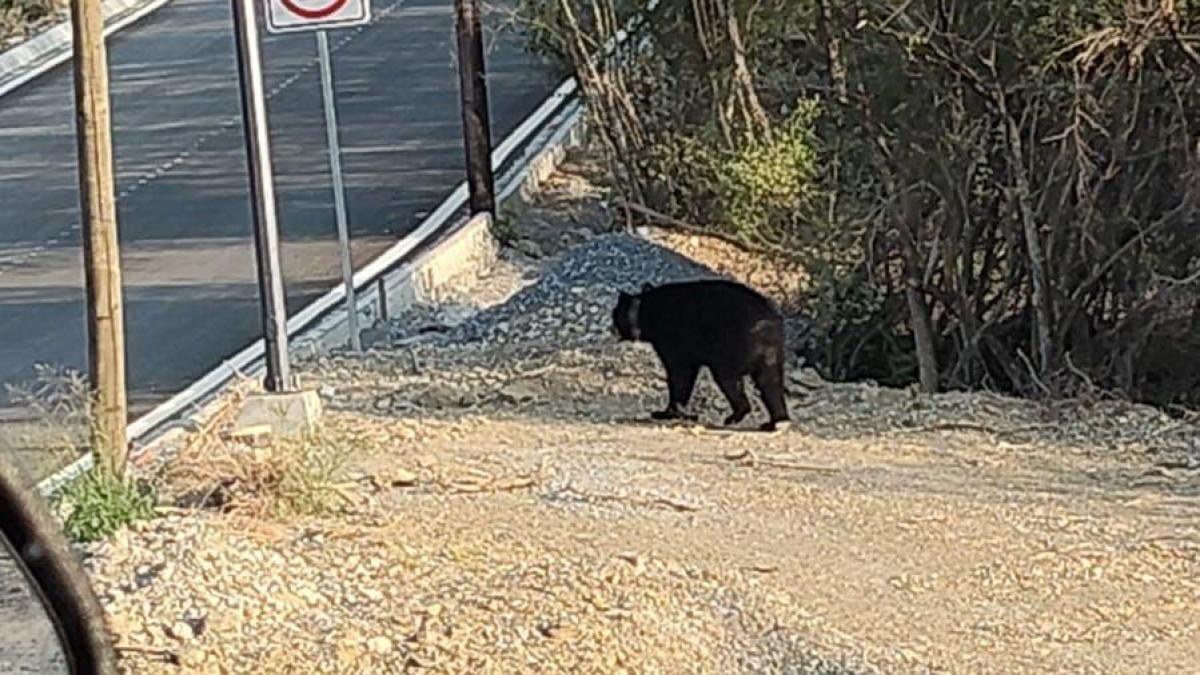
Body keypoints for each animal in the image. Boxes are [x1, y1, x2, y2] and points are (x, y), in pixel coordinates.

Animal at [611, 279, 790, 431]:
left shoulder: (674, 343)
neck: (643, 311)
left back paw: (733, 417)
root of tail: (767, 325)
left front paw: (666, 412)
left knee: (730, 381)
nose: (611, 328)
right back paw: (775, 422)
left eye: (615, 315)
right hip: (771, 356)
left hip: (729, 349)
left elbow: (680, 375)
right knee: (771, 384)